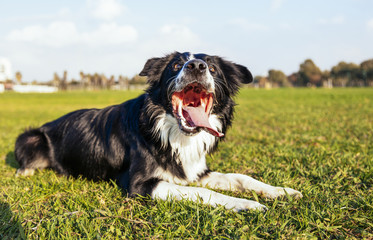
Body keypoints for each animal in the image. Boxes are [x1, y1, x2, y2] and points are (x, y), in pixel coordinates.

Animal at [13, 51, 302, 211]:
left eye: (213, 67)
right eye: (175, 65)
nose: (196, 66)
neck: (171, 134)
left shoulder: (195, 170)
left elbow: (240, 178)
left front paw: (281, 191)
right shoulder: (140, 184)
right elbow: (202, 193)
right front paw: (247, 205)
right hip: (29, 137)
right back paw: (25, 171)